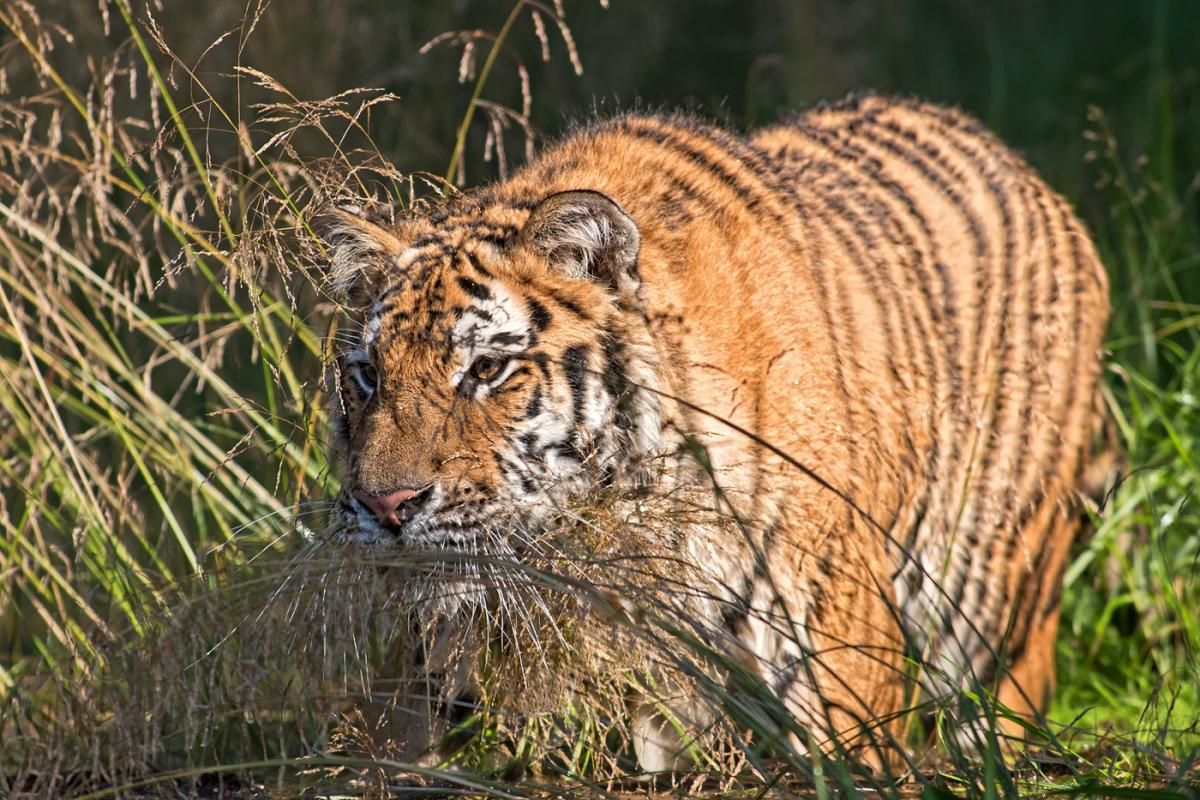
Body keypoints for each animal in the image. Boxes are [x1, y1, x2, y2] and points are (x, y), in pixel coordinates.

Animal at [318, 93, 1110, 771]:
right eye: (369, 375)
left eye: (485, 368)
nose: (386, 507)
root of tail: (1028, 175)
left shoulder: (836, 636)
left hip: (992, 584)